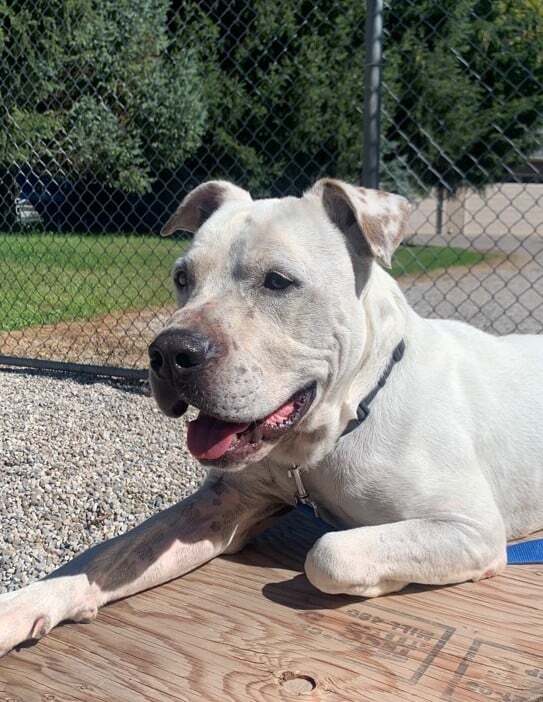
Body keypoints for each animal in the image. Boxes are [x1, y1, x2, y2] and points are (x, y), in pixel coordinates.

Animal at [1, 177, 543, 660]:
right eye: (182, 278)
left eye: (278, 281)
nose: (169, 353)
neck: (342, 421)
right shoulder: (223, 506)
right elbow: (107, 555)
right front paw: (23, 606)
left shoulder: (469, 528)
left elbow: (328, 553)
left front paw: (380, 582)